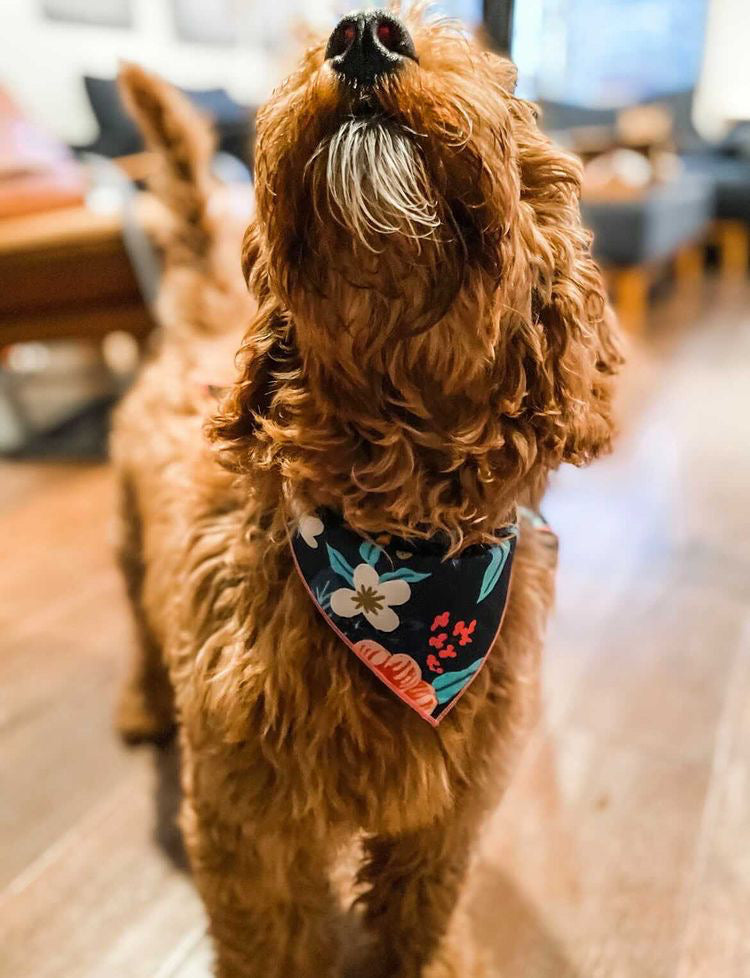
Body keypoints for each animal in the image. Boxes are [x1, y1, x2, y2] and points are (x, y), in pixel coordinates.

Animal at [113, 7, 624, 976]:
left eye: (511, 97)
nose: (362, 32)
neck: (395, 543)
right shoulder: (248, 825)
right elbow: (274, 942)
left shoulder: (448, 810)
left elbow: (424, 908)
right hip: (128, 542)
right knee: (139, 624)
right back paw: (141, 704)